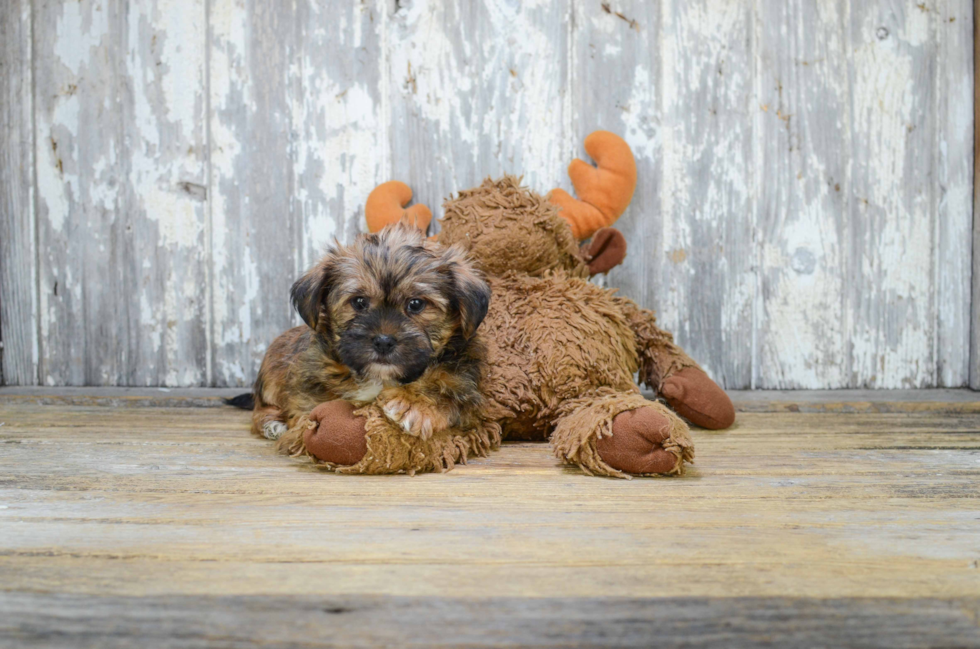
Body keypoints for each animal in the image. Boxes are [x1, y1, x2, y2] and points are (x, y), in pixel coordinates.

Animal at [245, 220, 490, 448]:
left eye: (416, 304)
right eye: (359, 302)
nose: (383, 342)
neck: (379, 378)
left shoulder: (466, 393)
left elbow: (445, 392)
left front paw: (414, 403)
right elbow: (306, 410)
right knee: (259, 408)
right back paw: (272, 424)